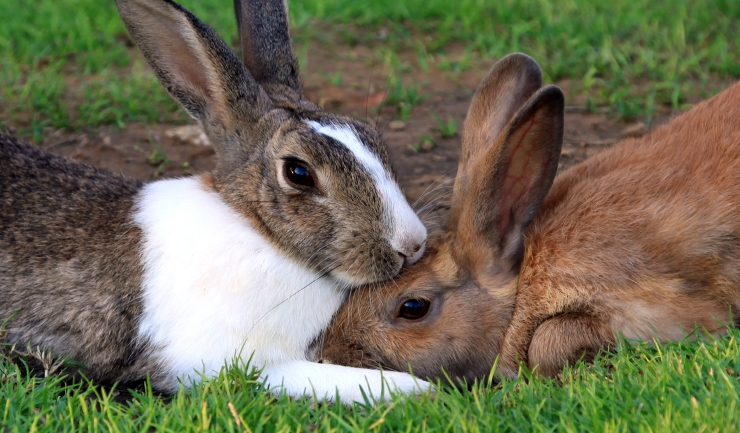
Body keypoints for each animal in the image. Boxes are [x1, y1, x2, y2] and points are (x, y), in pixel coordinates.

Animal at [0, 0, 428, 402]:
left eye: (370, 136)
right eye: (298, 172)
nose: (411, 244)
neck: (258, 232)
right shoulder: (226, 362)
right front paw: (418, 389)